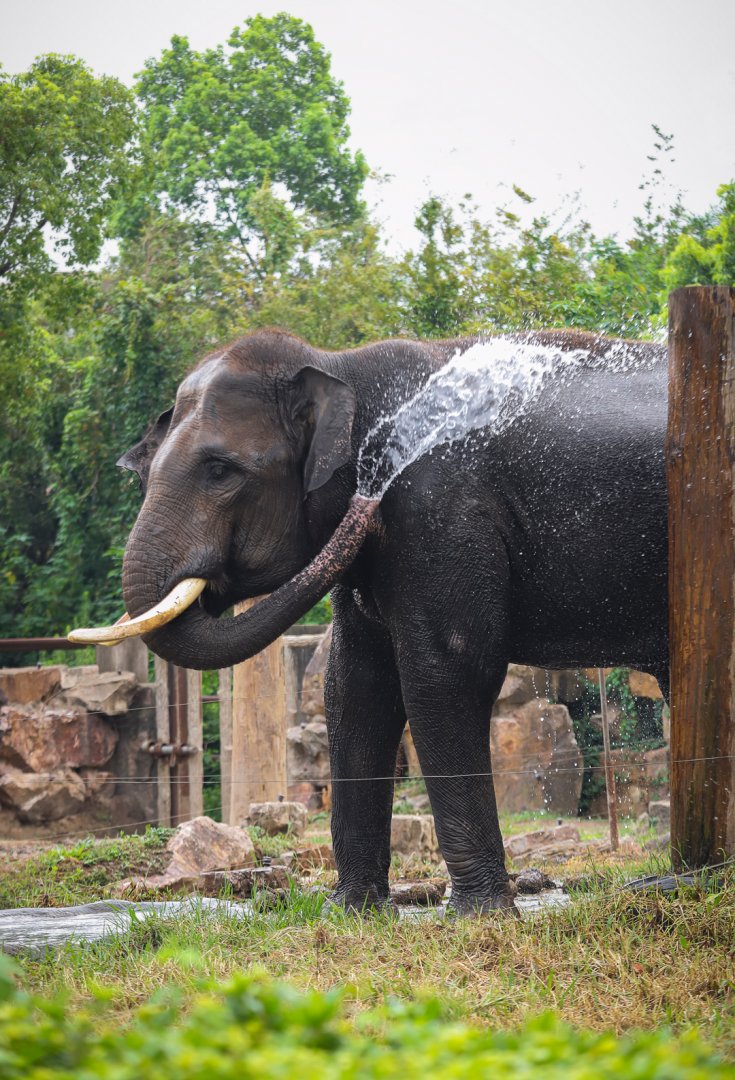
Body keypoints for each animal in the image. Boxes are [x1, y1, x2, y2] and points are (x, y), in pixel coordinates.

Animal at [77, 327, 668, 914]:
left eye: (220, 470)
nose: (368, 497)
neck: (342, 368)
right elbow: (353, 687)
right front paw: (350, 908)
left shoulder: (441, 511)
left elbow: (445, 670)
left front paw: (479, 915)